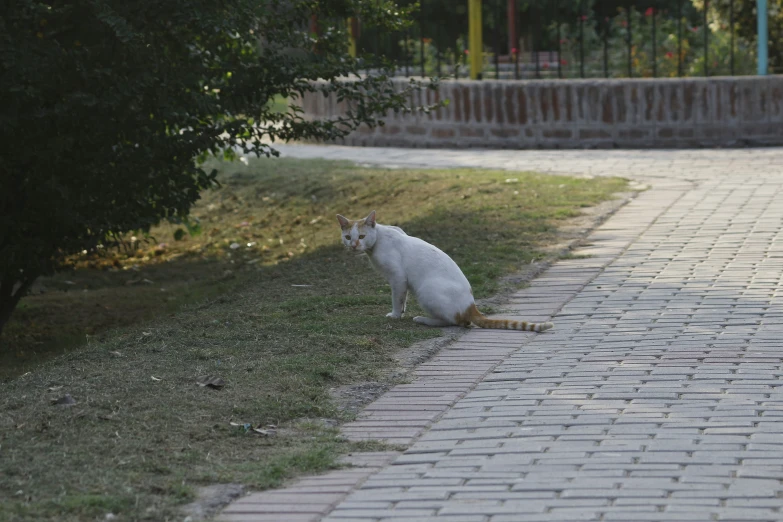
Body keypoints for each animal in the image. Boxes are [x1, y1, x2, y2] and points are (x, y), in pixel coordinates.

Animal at [334, 209, 556, 332]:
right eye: (348, 237)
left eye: (361, 237)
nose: (353, 245)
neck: (379, 237)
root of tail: (471, 306)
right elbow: (403, 299)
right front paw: (402, 311)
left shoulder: (398, 278)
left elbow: (397, 298)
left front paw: (396, 315)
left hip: (426, 291)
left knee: (455, 322)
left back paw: (423, 319)